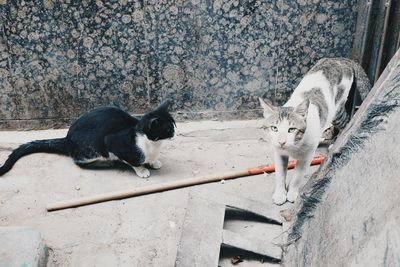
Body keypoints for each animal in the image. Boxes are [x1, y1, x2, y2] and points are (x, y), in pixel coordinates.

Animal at [0, 101, 175, 179]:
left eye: (174, 124)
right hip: (92, 149)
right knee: (79, 162)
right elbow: (133, 161)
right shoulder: (113, 142)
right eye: (168, 129)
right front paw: (142, 170)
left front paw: (154, 162)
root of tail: (66, 138)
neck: (153, 144)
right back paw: (105, 163)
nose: (175, 133)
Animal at [260, 58, 370, 205]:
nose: (281, 142)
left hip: (337, 111)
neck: (294, 146)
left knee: (347, 120)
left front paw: (292, 193)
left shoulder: (307, 156)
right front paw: (280, 194)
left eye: (292, 129)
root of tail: (342, 59)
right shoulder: (279, 153)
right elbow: (280, 174)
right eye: (274, 128)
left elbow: (297, 176)